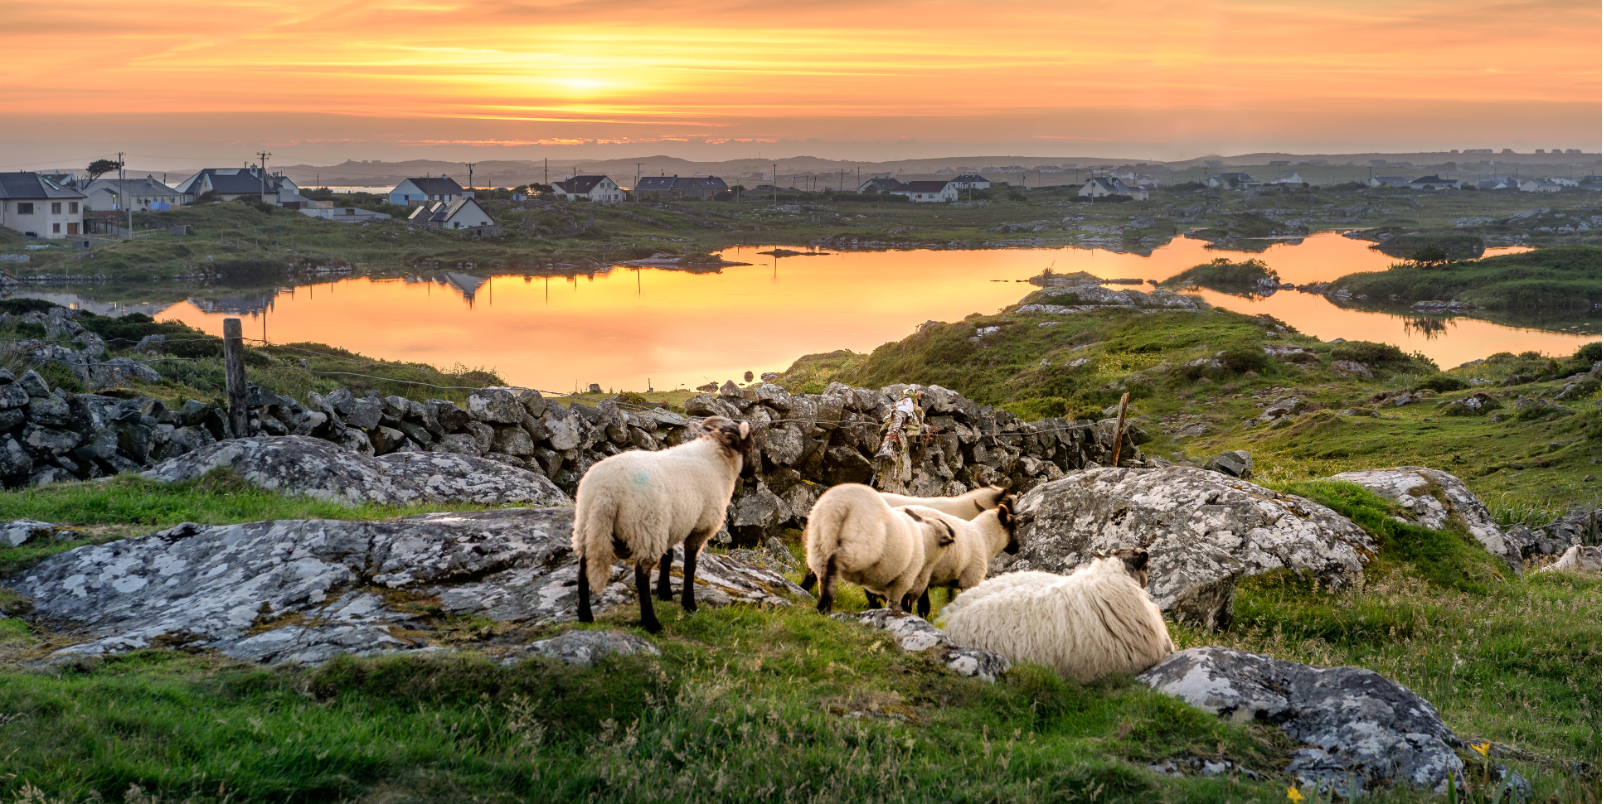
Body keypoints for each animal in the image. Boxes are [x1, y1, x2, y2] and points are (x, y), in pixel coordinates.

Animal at [574, 414, 753, 632]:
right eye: (750, 446)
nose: (752, 472)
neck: (717, 461)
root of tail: (606, 491)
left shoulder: (671, 524)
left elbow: (668, 558)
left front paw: (665, 592)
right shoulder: (699, 527)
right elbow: (690, 566)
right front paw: (689, 604)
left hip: (588, 524)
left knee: (583, 569)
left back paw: (585, 615)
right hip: (645, 527)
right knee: (641, 576)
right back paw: (651, 623)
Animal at [798, 481, 949, 613]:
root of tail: (841, 503)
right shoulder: (903, 579)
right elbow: (895, 600)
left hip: (819, 540)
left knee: (819, 570)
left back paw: (821, 601)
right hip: (863, 543)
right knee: (835, 561)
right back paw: (825, 606)